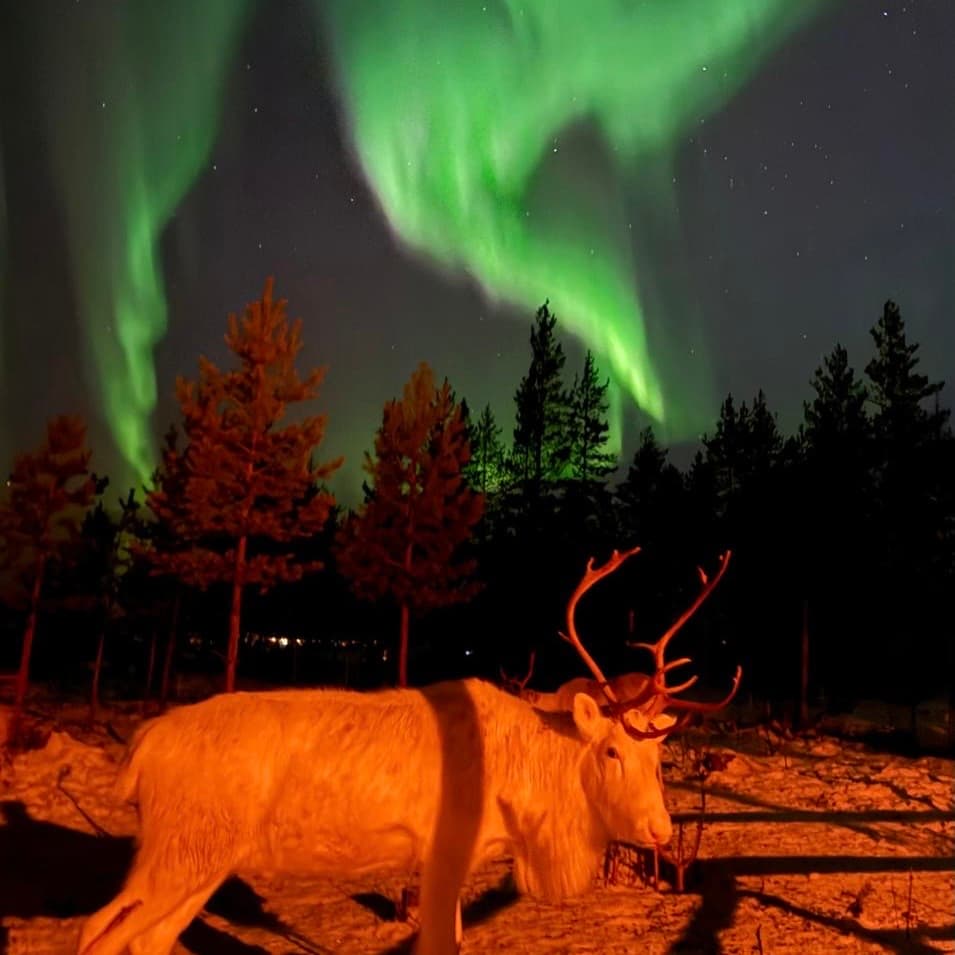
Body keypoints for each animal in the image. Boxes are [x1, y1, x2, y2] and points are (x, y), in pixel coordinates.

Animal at [77, 545, 738, 955]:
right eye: (611, 752)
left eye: (658, 756)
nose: (658, 829)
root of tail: (140, 749)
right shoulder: (444, 851)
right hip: (177, 851)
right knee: (96, 932)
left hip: (203, 858)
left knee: (145, 939)